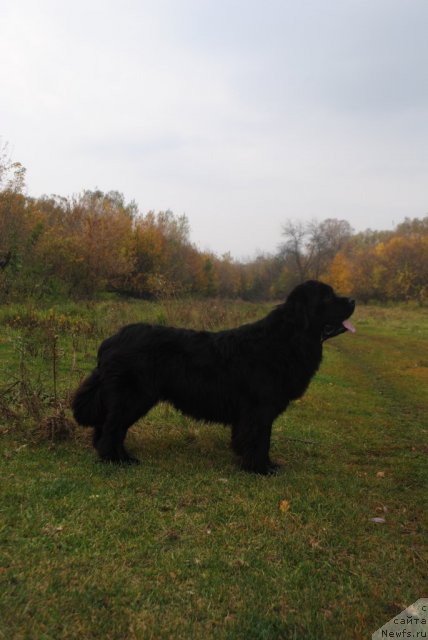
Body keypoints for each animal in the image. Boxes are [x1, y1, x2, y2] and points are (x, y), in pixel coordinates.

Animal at [72, 282, 354, 476]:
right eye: (327, 297)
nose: (353, 300)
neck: (288, 339)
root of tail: (111, 340)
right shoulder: (259, 409)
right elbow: (260, 439)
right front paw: (261, 468)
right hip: (133, 396)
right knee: (112, 428)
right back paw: (118, 459)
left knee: (107, 426)